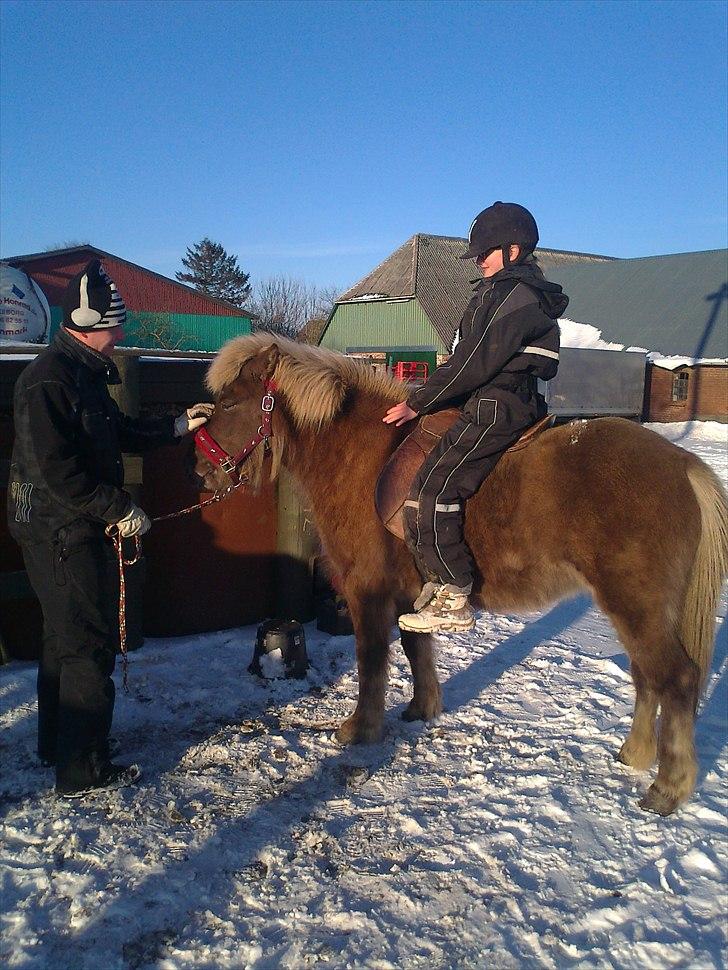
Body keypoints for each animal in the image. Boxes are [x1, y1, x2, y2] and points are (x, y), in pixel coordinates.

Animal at [193, 328, 728, 812]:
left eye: (231, 402)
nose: (202, 471)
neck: (362, 453)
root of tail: (683, 467)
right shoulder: (409, 592)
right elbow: (416, 647)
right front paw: (421, 709)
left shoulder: (367, 589)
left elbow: (372, 659)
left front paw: (360, 729)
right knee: (646, 676)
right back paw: (635, 755)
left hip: (636, 605)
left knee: (675, 678)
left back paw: (667, 788)